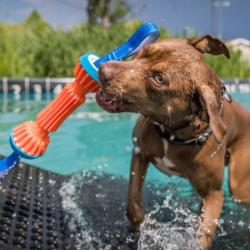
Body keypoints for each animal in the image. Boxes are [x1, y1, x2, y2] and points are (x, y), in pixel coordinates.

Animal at [95, 36, 250, 249]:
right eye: (145, 51)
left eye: (159, 79)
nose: (103, 69)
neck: (174, 135)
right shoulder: (139, 152)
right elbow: (133, 206)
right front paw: (143, 226)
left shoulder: (214, 194)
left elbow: (204, 234)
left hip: (239, 186)